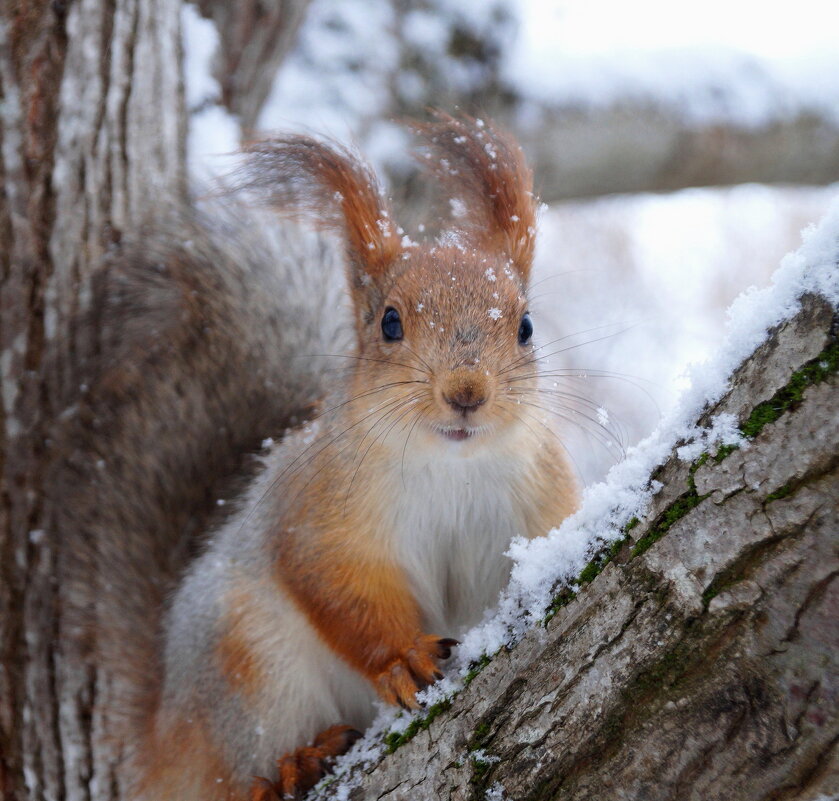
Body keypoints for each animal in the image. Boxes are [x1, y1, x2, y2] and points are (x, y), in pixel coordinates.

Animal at [59, 112, 580, 800]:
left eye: (525, 327)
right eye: (389, 322)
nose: (467, 392)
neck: (452, 469)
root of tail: (163, 737)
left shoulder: (541, 499)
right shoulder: (319, 517)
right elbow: (339, 591)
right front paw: (402, 659)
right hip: (249, 668)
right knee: (233, 774)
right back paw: (292, 766)